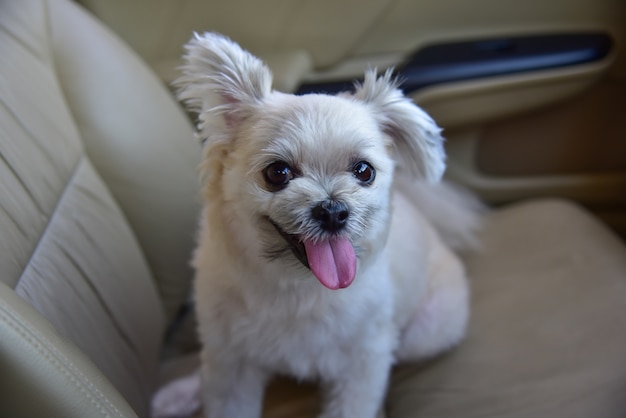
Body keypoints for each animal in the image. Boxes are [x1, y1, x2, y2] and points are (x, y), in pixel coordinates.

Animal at [150, 31, 478, 418]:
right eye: (277, 172)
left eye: (364, 171)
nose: (333, 210)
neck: (297, 290)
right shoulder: (232, 365)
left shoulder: (361, 367)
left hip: (422, 335)